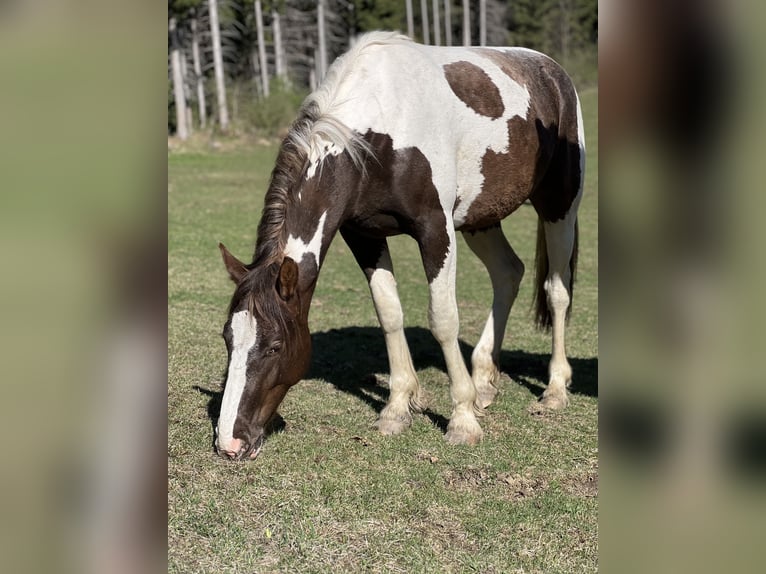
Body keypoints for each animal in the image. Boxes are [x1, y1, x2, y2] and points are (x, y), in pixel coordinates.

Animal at [215, 32, 585, 460]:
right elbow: (389, 314)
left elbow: (443, 319)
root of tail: (553, 71)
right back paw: (484, 380)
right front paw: (397, 408)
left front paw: (462, 419)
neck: (380, 132)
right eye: (228, 338)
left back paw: (554, 390)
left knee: (557, 291)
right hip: (481, 218)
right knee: (509, 273)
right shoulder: (364, 236)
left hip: (559, 207)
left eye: (274, 346)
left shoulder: (436, 230)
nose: (229, 441)